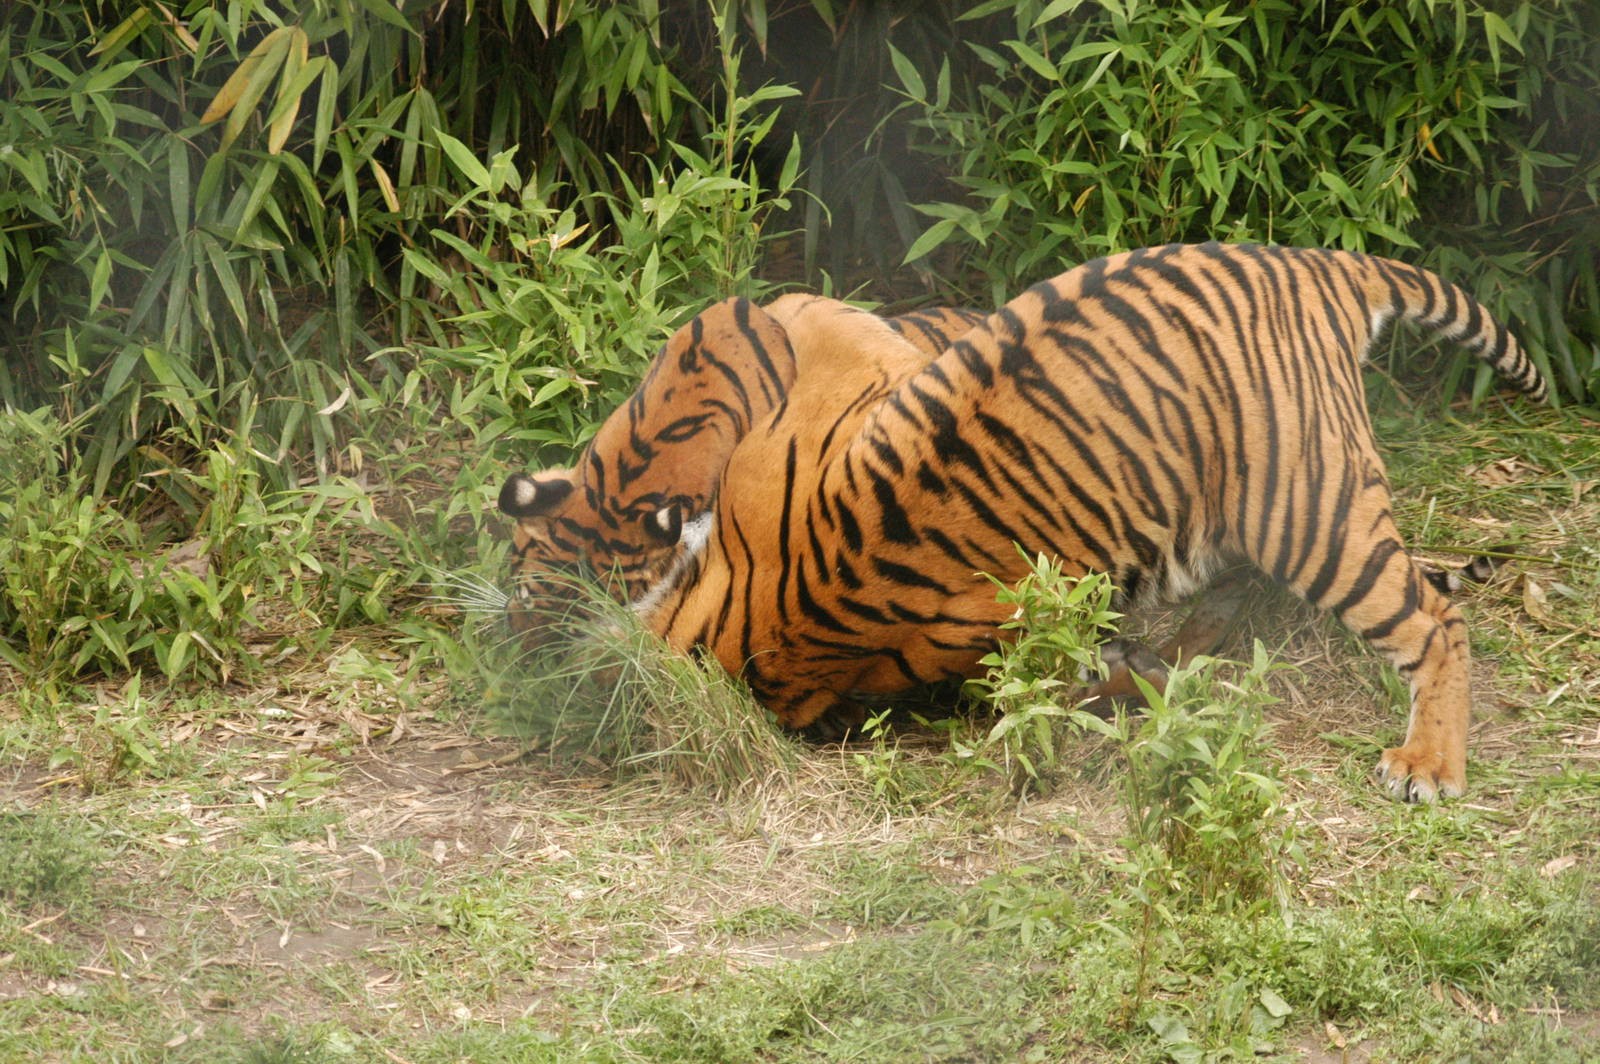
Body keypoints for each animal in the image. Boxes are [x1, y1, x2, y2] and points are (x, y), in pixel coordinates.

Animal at [510, 242, 1545, 803]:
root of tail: (1310, 265)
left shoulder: (827, 360)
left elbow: (702, 354)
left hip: (1307, 505)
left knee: (1435, 622)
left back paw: (1427, 764)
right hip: (1289, 505)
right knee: (1395, 609)